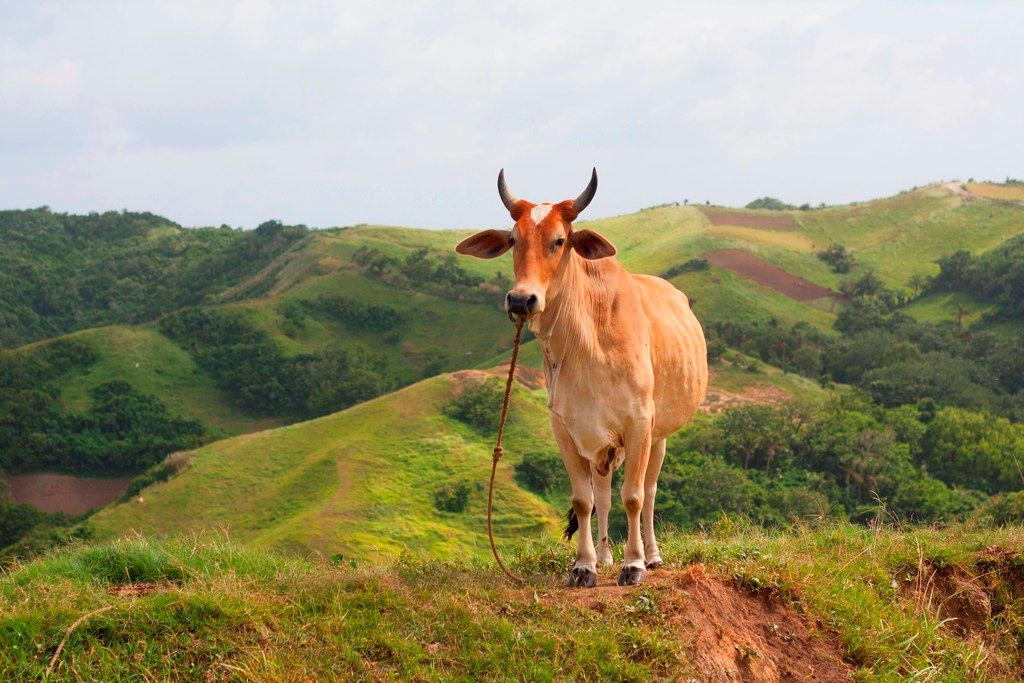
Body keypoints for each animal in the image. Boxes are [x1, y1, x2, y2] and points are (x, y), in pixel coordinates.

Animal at [454, 171, 704, 589]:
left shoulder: (640, 424)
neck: (586, 342)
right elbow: (584, 501)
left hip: (660, 435)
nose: (521, 301)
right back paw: (604, 556)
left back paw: (652, 556)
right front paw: (585, 566)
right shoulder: (567, 429)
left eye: (559, 240)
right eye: (513, 240)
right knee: (602, 494)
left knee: (649, 491)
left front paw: (633, 564)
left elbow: (634, 496)